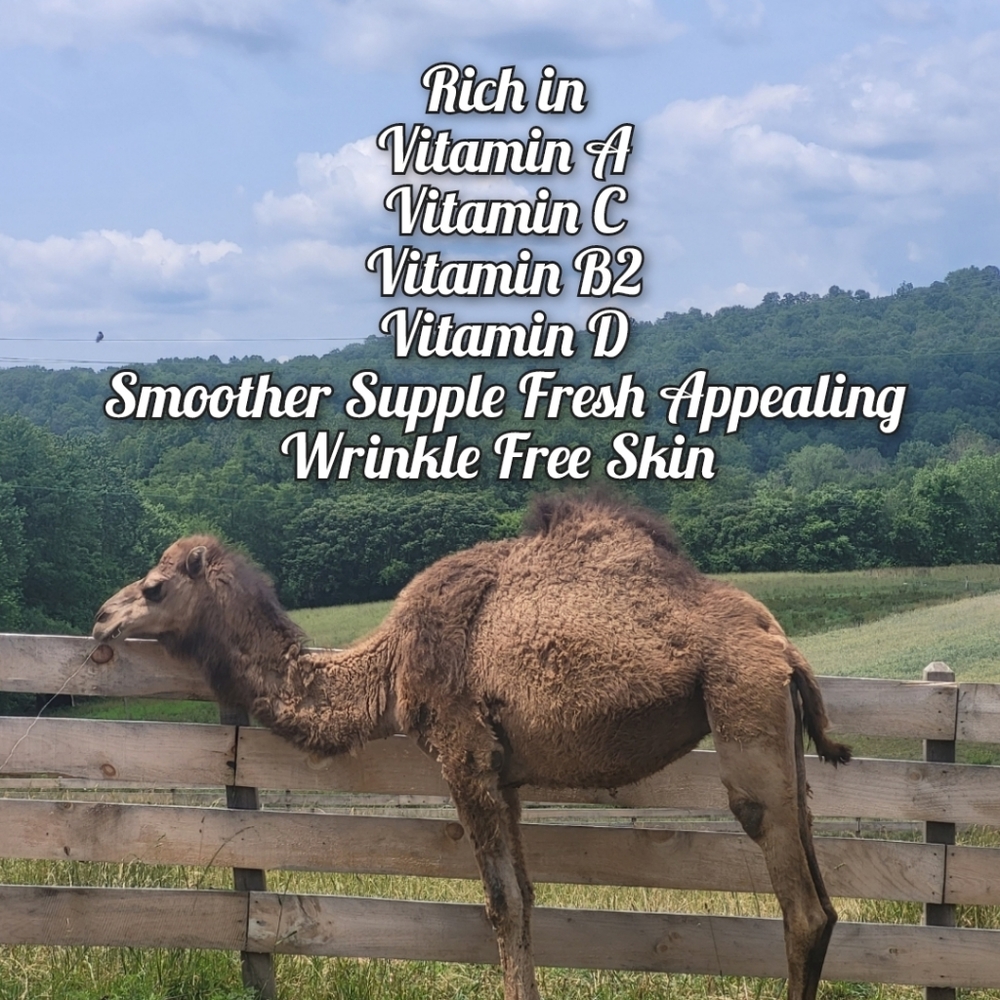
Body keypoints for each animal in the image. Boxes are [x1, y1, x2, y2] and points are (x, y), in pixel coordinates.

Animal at [93, 493, 850, 1000]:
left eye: (154, 587)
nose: (101, 618)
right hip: (780, 733)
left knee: (801, 904)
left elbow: (501, 902)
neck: (391, 665)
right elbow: (528, 897)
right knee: (823, 893)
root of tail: (782, 647)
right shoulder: (505, 774)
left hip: (740, 700)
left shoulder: (463, 756)